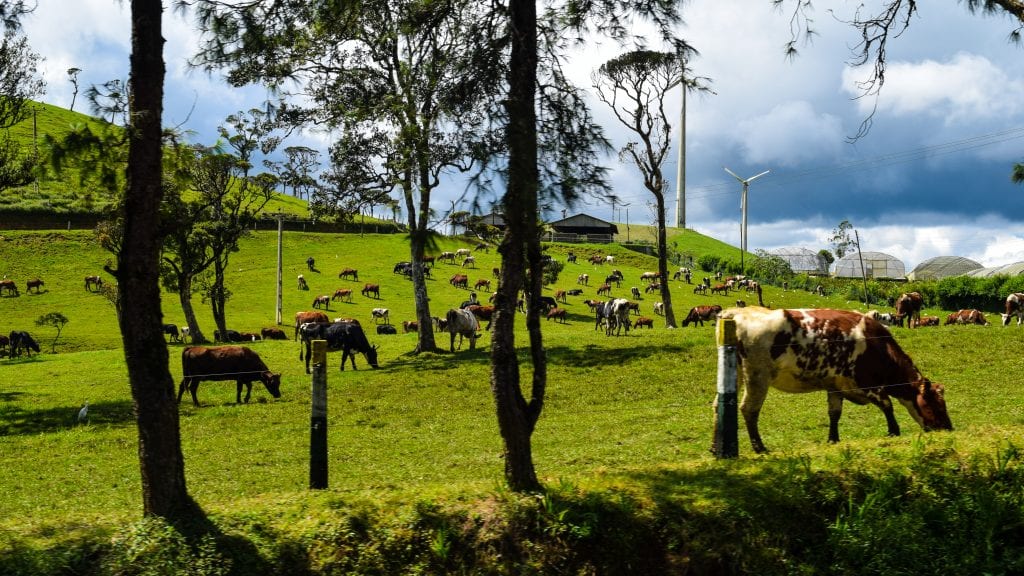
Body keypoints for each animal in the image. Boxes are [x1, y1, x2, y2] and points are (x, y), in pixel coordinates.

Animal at [720, 307, 950, 450]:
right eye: (936, 404)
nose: (949, 429)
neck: (879, 346)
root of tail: (738, 312)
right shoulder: (868, 384)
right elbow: (887, 405)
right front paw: (894, 431)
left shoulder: (836, 387)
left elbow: (834, 414)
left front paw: (833, 439)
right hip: (757, 378)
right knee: (749, 410)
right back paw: (760, 448)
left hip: (738, 376)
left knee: (718, 405)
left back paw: (717, 448)